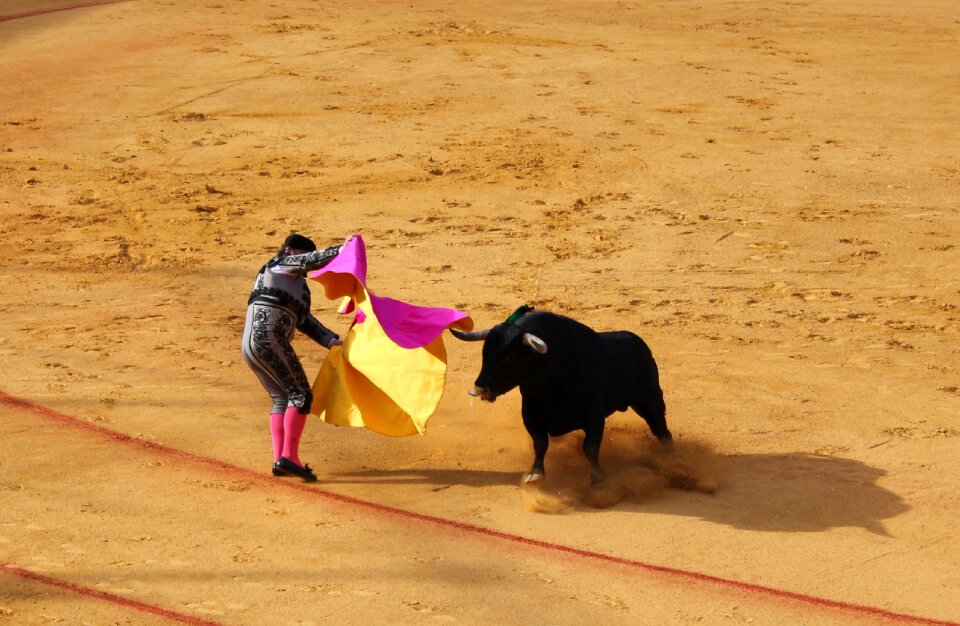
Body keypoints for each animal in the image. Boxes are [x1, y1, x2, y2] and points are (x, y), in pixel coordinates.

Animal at [452, 308, 672, 482]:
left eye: (509, 358)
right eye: (484, 354)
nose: (480, 388)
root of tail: (639, 343)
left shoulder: (594, 413)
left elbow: (590, 447)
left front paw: (597, 479)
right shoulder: (531, 412)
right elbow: (540, 443)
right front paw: (535, 473)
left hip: (649, 399)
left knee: (661, 429)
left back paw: (669, 457)